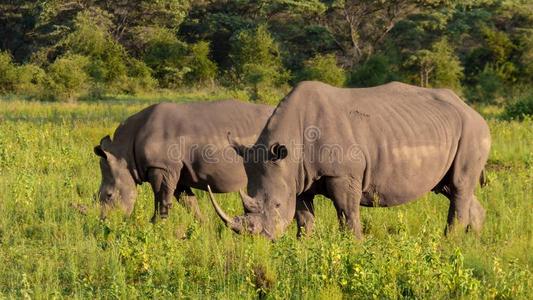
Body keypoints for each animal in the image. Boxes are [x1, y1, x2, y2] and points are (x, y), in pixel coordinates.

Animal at [92, 99, 274, 221]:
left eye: (109, 195)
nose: (105, 222)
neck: (123, 152)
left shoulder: (161, 167)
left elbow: (161, 199)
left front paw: (156, 227)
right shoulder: (174, 170)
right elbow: (188, 202)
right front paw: (203, 226)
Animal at [208, 81, 490, 239]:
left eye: (276, 205)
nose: (259, 239)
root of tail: (472, 109)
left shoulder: (342, 174)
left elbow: (347, 213)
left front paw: (354, 247)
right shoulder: (297, 178)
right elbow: (304, 218)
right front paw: (303, 248)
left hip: (473, 131)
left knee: (459, 185)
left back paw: (449, 244)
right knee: (450, 187)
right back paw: (472, 242)